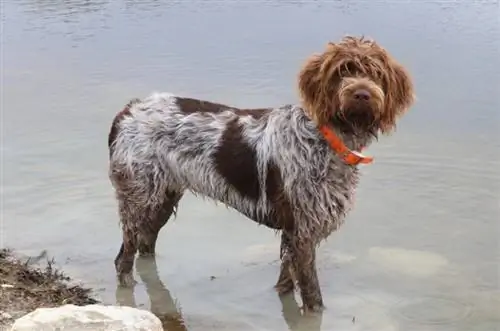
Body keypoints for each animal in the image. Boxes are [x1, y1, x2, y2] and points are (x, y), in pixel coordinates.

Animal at [108, 36, 414, 314]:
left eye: (376, 73)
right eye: (342, 71)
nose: (362, 94)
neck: (325, 137)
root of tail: (128, 109)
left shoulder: (293, 235)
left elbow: (286, 283)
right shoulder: (303, 233)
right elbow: (313, 298)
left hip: (162, 198)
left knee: (145, 249)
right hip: (139, 198)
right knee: (123, 258)